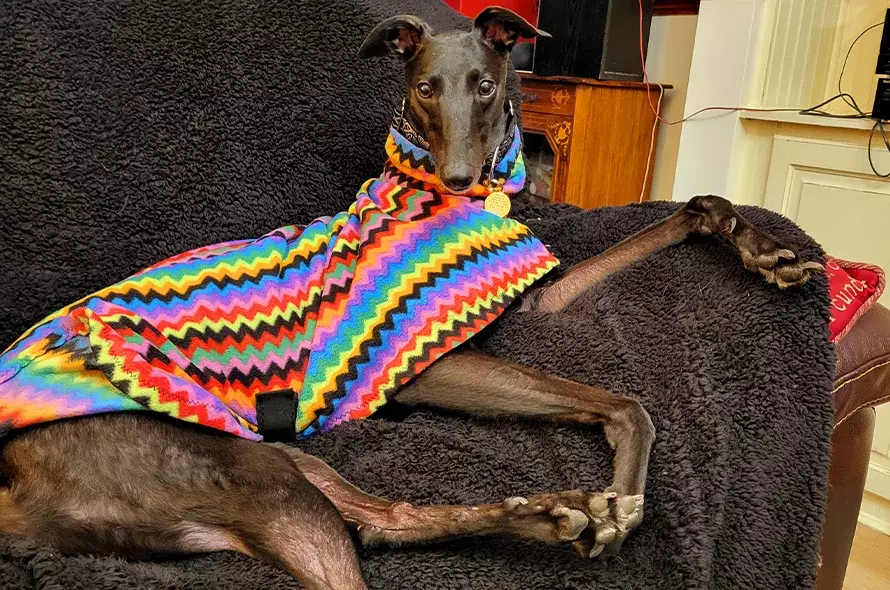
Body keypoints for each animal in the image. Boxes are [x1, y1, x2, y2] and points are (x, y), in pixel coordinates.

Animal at [0, 8, 822, 590]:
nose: (460, 179)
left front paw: (765, 250)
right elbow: (626, 403)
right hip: (242, 477)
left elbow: (689, 211)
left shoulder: (533, 305)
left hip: (280, 466)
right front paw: (626, 499)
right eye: (424, 88)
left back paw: (553, 514)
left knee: (383, 520)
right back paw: (573, 514)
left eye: (485, 86)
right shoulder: (417, 360)